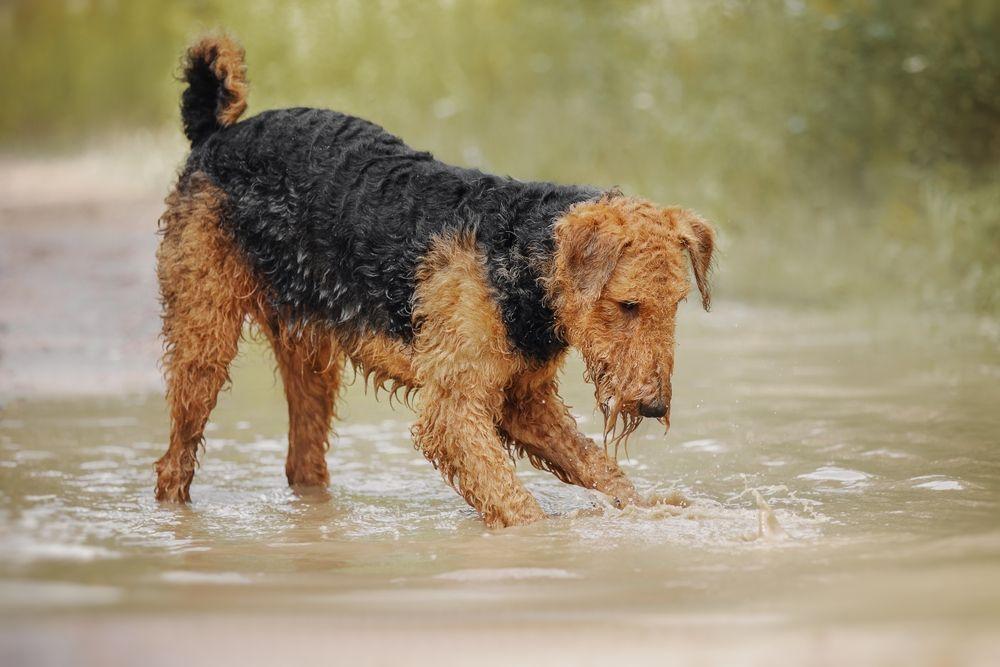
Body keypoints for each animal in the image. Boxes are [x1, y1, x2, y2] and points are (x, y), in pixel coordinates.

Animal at [154, 35, 712, 528]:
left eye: (676, 305)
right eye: (627, 305)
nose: (655, 406)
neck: (519, 261)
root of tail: (215, 134)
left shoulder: (524, 401)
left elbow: (598, 468)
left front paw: (652, 509)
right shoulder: (453, 411)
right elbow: (517, 503)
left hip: (310, 355)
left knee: (302, 461)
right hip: (204, 338)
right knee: (174, 461)